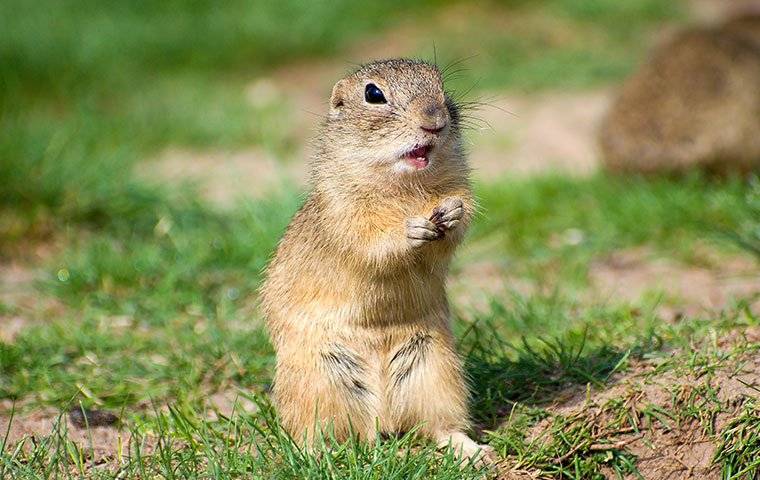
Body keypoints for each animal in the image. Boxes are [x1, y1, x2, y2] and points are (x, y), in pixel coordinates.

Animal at [258, 58, 490, 460]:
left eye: (441, 85)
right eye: (373, 94)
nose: (434, 120)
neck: (405, 186)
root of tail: (382, 418)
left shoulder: (459, 186)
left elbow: (457, 220)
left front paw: (451, 213)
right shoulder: (346, 212)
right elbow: (372, 240)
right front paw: (412, 229)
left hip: (436, 370)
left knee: (436, 425)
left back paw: (471, 449)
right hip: (317, 380)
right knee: (316, 432)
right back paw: (318, 455)